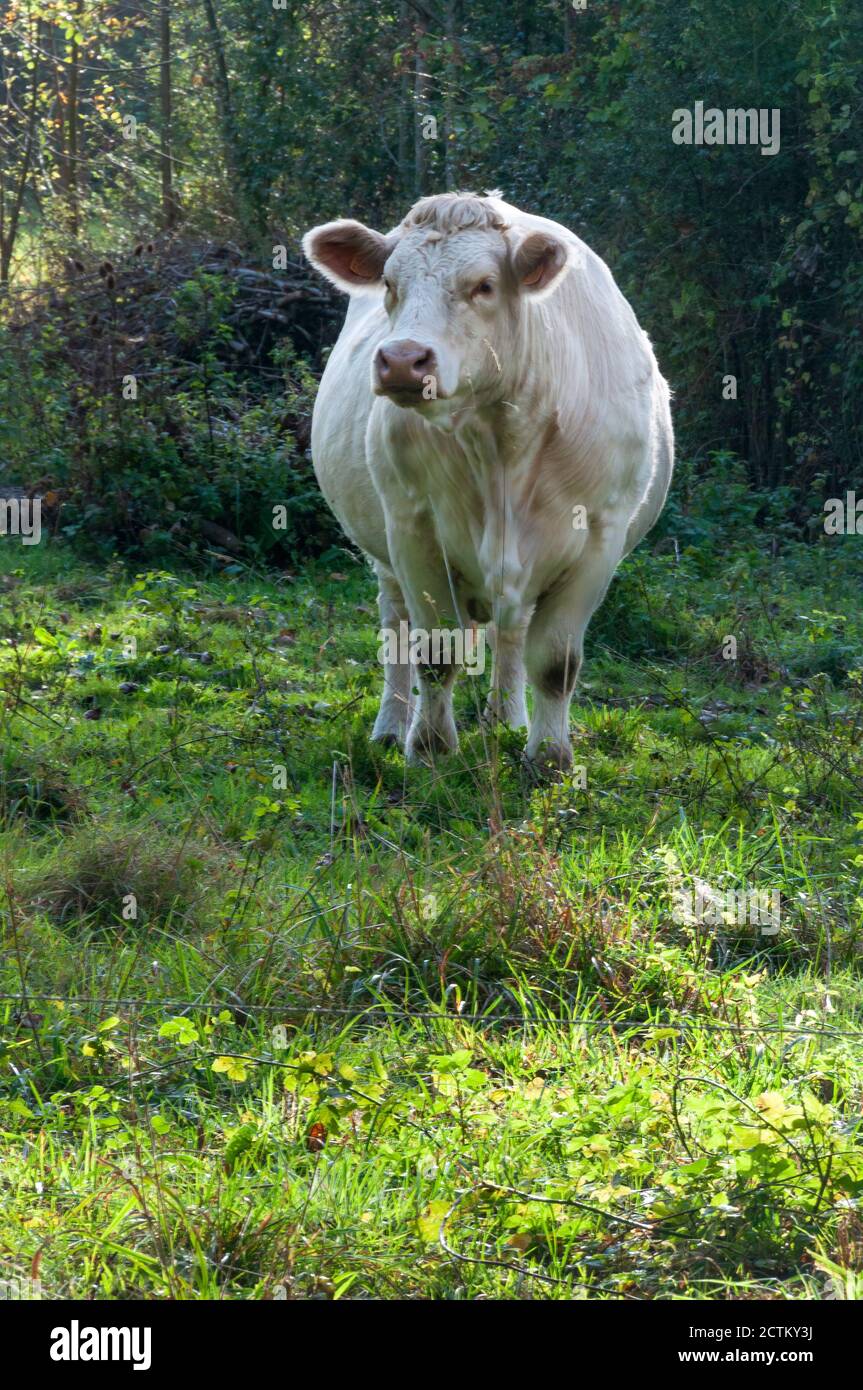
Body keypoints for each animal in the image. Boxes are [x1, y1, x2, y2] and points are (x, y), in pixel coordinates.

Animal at [302, 191, 672, 772]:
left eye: (484, 285)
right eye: (389, 283)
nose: (402, 361)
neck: (500, 441)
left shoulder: (600, 538)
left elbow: (556, 662)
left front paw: (549, 758)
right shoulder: (412, 527)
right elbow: (435, 651)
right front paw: (430, 748)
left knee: (512, 635)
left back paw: (506, 719)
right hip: (383, 553)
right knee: (397, 627)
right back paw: (391, 727)